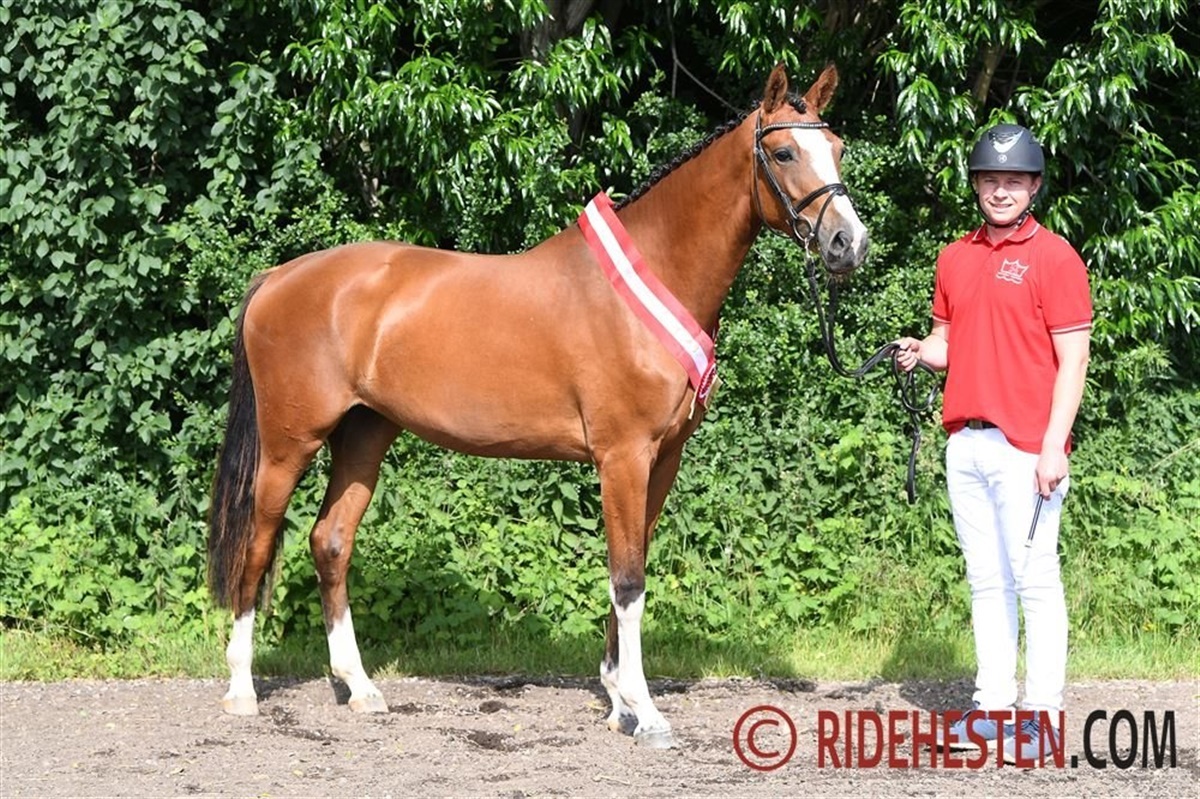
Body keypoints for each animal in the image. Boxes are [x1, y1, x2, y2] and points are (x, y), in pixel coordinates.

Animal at [206, 61, 868, 749]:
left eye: (838, 147)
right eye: (784, 152)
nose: (849, 243)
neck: (650, 280)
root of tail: (277, 278)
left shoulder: (660, 460)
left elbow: (628, 566)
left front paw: (618, 701)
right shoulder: (622, 457)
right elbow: (628, 579)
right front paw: (646, 712)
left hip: (364, 435)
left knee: (331, 542)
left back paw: (360, 689)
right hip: (289, 445)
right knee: (258, 542)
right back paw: (242, 690)